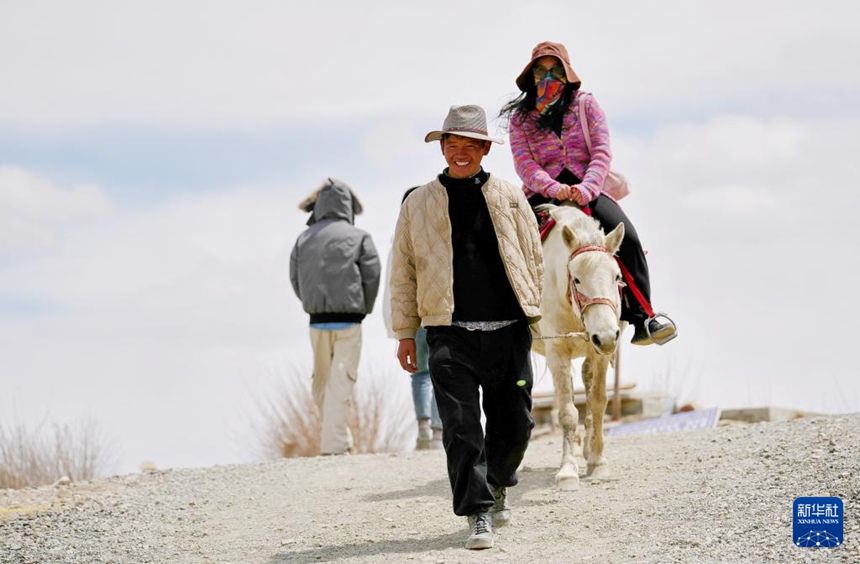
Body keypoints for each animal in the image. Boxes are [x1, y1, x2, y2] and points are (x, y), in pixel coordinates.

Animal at [532, 203, 624, 490]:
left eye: (617, 276)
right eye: (577, 279)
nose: (606, 336)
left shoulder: (601, 352)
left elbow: (597, 401)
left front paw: (598, 462)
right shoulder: (557, 351)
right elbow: (567, 412)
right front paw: (567, 472)